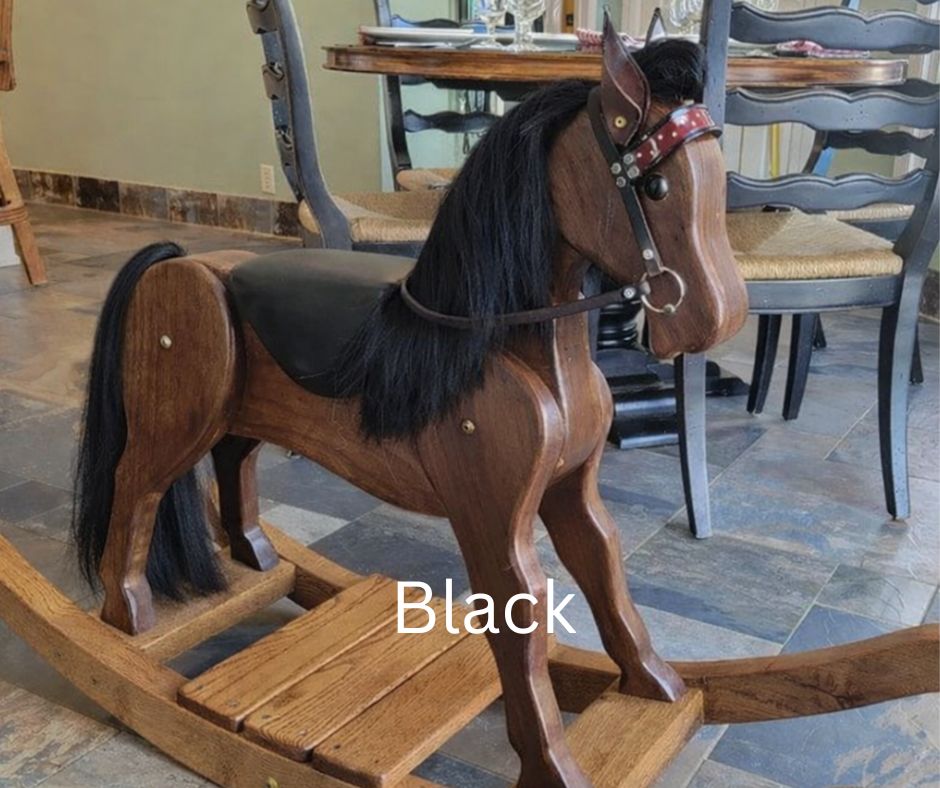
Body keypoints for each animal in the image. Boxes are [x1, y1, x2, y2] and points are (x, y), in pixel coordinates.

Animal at [72, 18, 747, 787]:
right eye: (657, 184)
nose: (713, 321)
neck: (506, 346)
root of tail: (180, 260)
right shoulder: (491, 514)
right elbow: (520, 618)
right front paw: (551, 764)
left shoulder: (571, 489)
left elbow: (605, 570)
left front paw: (655, 685)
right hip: (176, 418)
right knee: (135, 486)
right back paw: (129, 615)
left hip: (239, 416)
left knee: (233, 463)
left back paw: (257, 558)